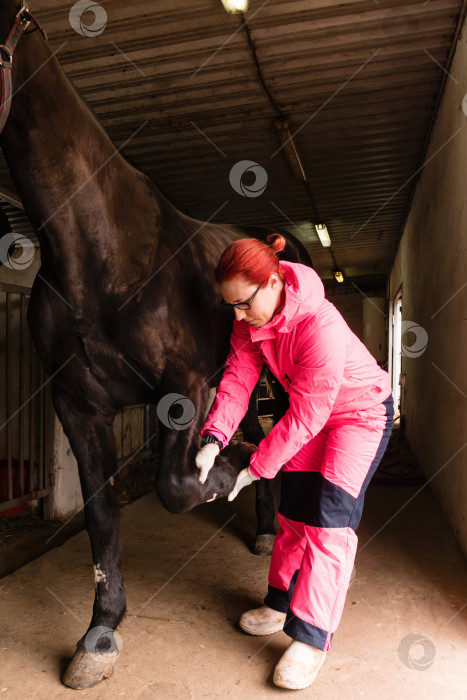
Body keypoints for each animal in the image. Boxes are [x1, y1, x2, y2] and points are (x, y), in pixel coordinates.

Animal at [0, 1, 312, 688]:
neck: (103, 253)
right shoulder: (76, 404)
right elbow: (101, 514)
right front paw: (100, 634)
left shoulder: (184, 387)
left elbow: (176, 485)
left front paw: (223, 471)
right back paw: (263, 527)